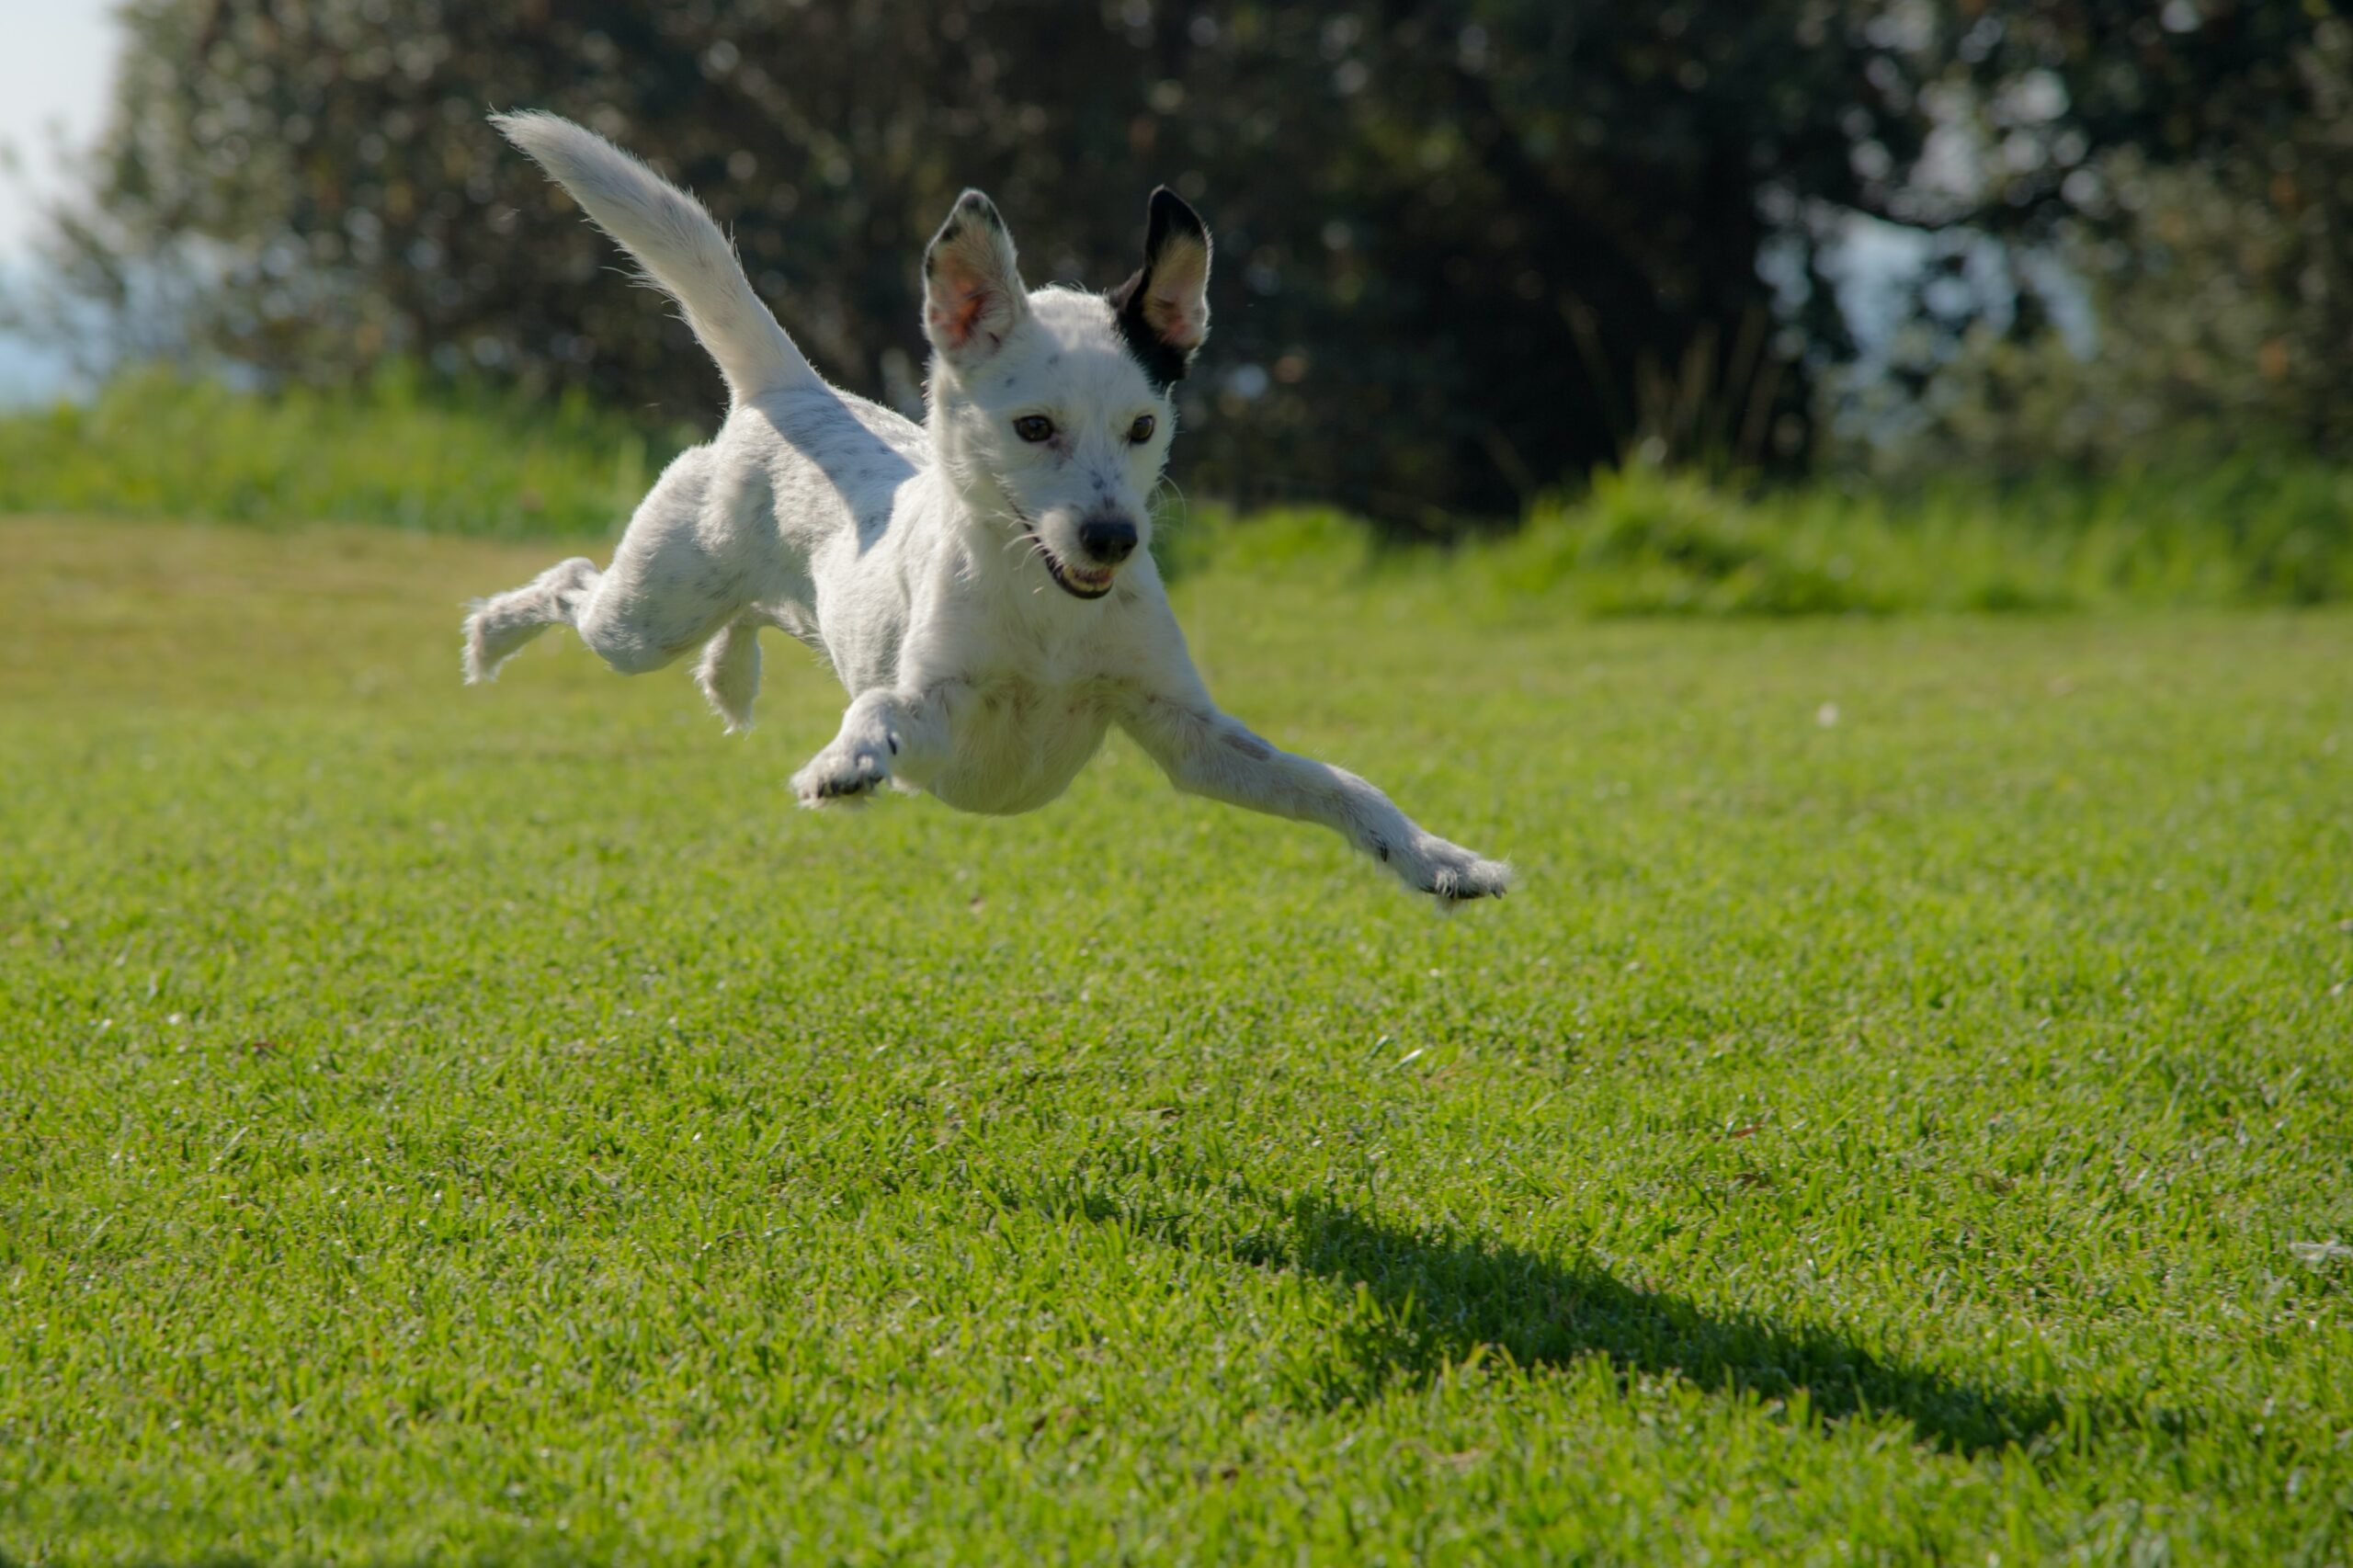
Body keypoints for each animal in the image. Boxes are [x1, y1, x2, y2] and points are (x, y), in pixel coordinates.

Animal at [468, 112, 1515, 903]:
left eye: (1143, 427)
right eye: (1034, 426)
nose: (1112, 537)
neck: (1047, 611)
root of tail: (791, 391)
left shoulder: (1188, 735)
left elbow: (1338, 782)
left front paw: (1438, 858)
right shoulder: (941, 714)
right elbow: (881, 706)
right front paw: (846, 761)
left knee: (743, 618)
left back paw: (730, 674)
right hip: (647, 614)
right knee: (573, 583)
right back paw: (491, 636)